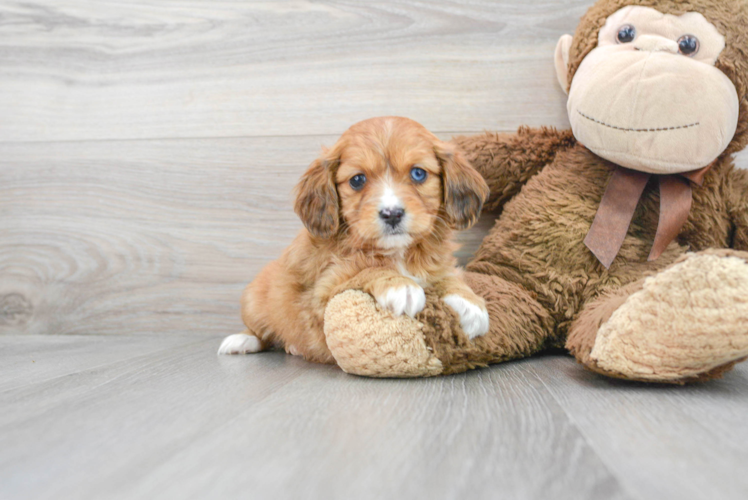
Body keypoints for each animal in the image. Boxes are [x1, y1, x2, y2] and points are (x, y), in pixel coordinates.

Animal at [218, 119, 490, 366]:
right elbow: (367, 270)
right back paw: (243, 341)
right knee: (260, 331)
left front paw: (471, 304)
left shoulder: (439, 266)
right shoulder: (323, 294)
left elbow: (450, 278)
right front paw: (400, 285)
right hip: (253, 301)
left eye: (418, 173)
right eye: (357, 180)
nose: (392, 214)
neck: (397, 253)